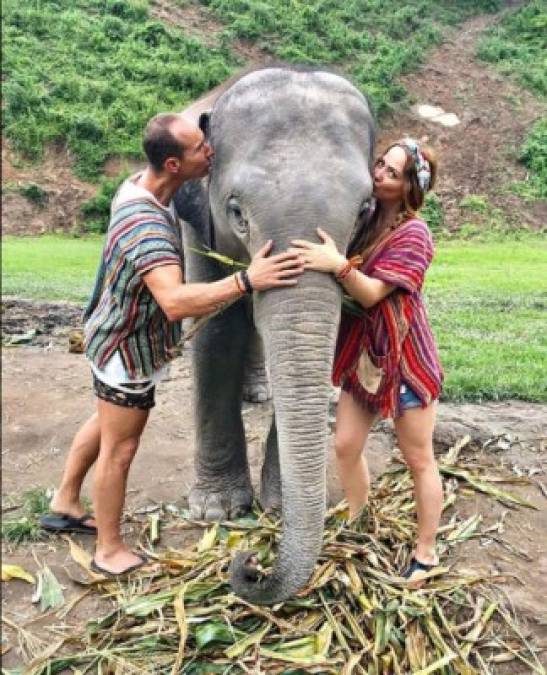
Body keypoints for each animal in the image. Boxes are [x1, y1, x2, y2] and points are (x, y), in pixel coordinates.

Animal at [176, 66, 376, 604]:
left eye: (365, 210)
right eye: (236, 212)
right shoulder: (199, 223)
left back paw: (259, 392)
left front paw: (278, 507)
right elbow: (216, 331)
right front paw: (217, 511)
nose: (250, 562)